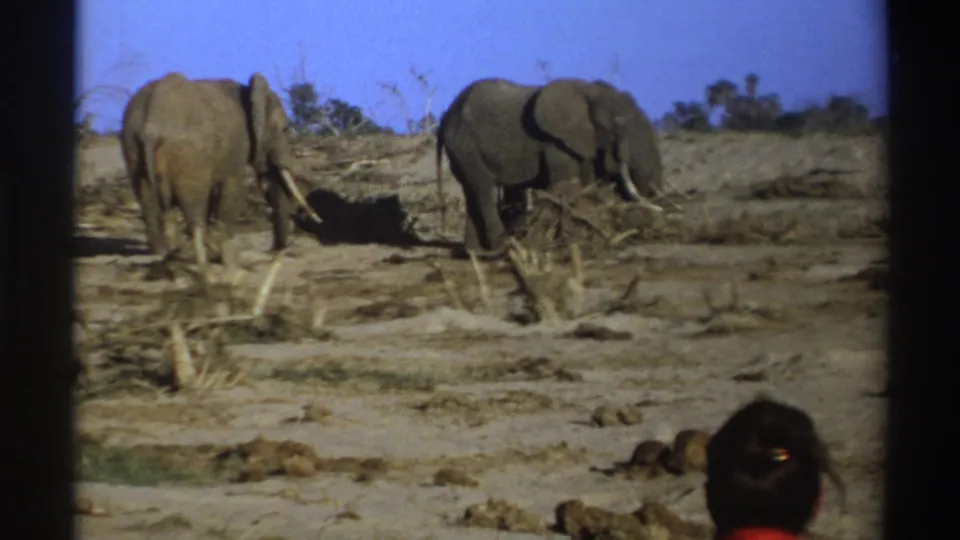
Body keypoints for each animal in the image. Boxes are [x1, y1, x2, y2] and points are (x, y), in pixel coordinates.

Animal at [119, 71, 321, 274]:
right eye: (285, 129)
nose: (274, 250)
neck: (248, 92)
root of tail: (152, 126)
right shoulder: (237, 144)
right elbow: (233, 188)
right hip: (189, 155)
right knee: (194, 204)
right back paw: (199, 253)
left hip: (132, 146)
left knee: (148, 199)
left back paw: (162, 251)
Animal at [435, 77, 665, 254]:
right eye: (617, 124)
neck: (587, 90)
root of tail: (446, 116)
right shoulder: (554, 142)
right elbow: (567, 184)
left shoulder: (582, 142)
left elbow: (587, 182)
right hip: (465, 143)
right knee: (484, 190)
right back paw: (502, 247)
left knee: (472, 191)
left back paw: (476, 253)